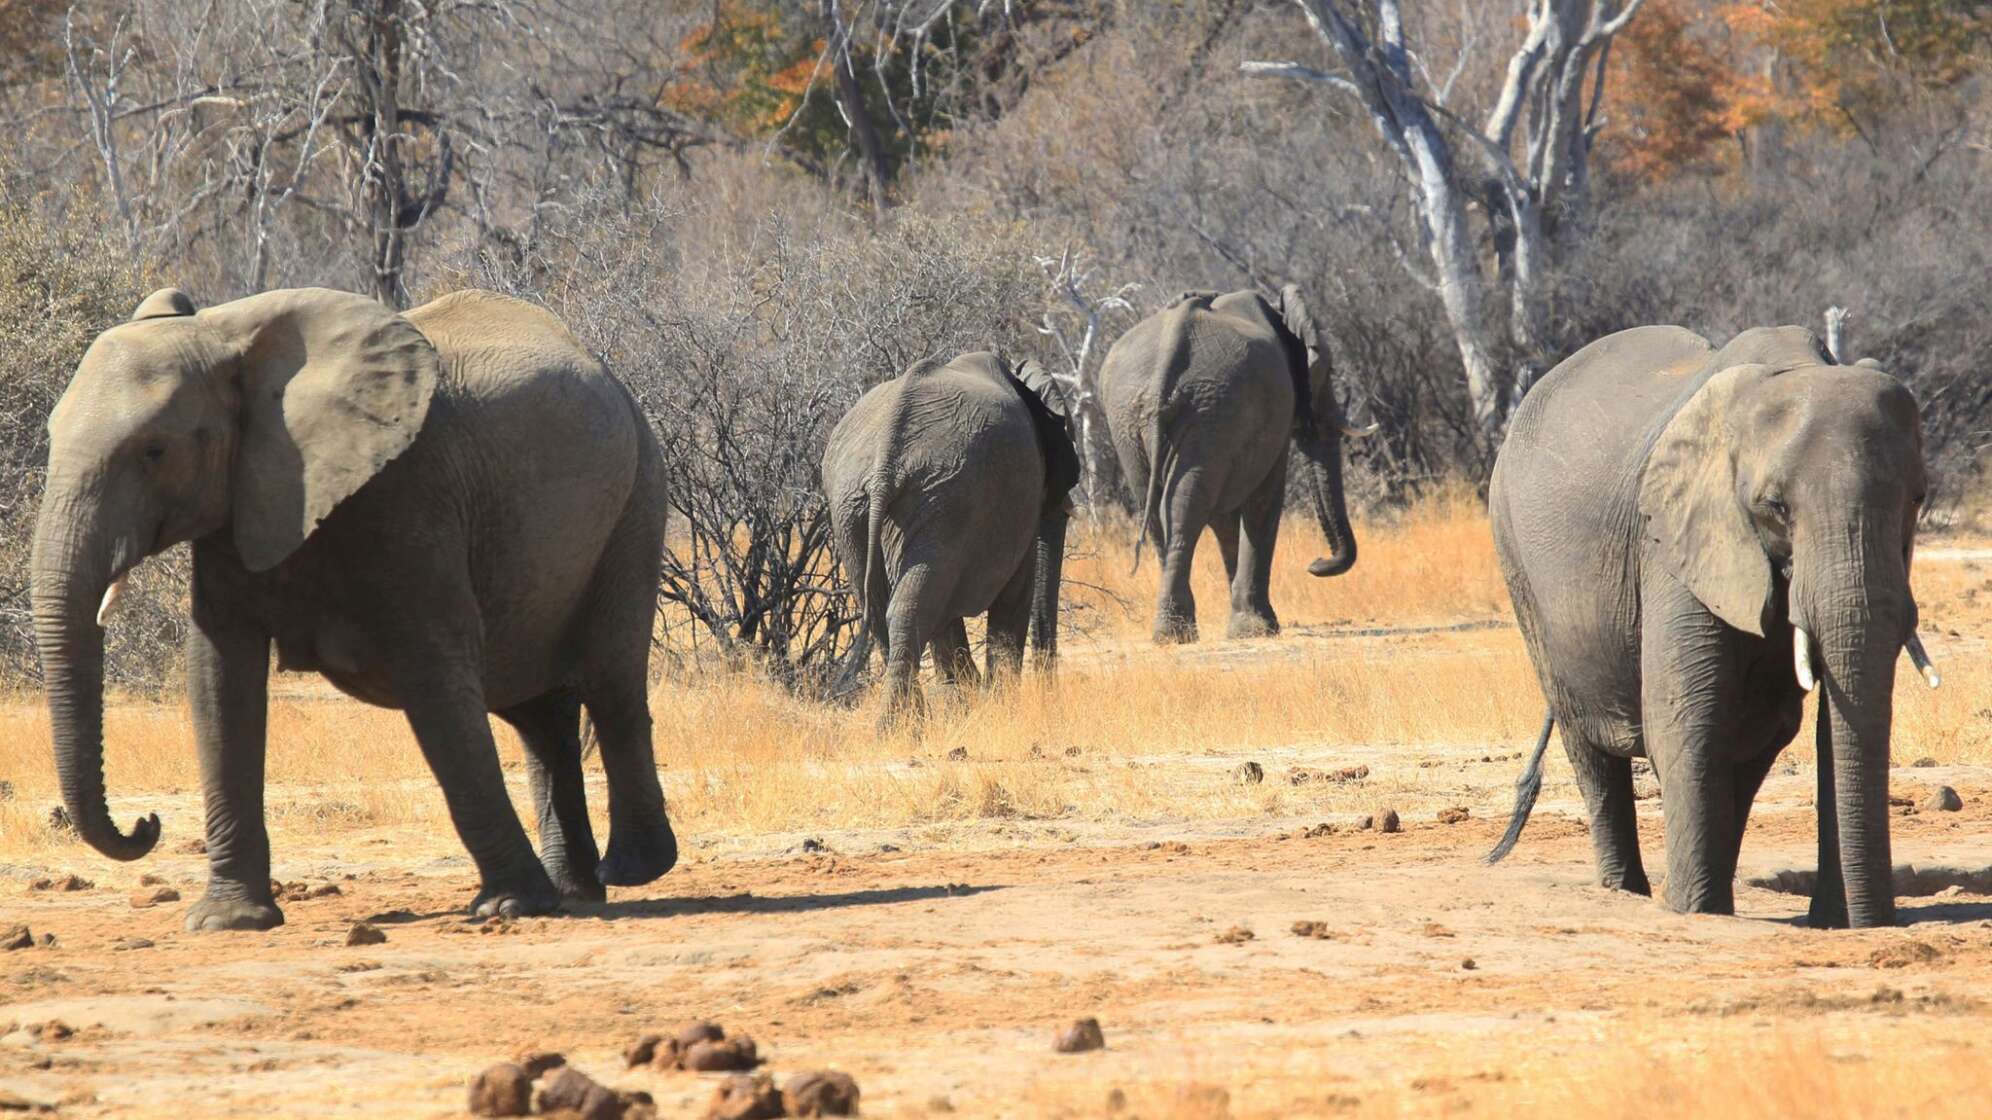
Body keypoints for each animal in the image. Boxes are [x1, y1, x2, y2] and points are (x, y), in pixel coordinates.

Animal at [33, 284, 677, 924]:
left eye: (154, 451)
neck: (226, 335)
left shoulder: (408, 492)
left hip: (638, 495)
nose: (147, 824)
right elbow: (218, 680)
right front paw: (228, 921)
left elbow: (435, 673)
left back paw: (629, 871)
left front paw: (509, 906)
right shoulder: (239, 505)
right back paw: (576, 892)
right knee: (538, 714)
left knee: (611, 679)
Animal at [816, 346, 1083, 713]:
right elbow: (1016, 592)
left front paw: (968, 700)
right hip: (940, 498)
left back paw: (908, 721)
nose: (1049, 696)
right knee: (913, 605)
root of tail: (885, 462)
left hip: (862, 505)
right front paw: (995, 705)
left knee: (889, 607)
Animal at [1099, 282, 1378, 641]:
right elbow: (1264, 500)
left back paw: (1171, 632)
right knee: (1185, 507)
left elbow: (1225, 516)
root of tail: (1165, 364)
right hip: (1209, 411)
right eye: (1326, 371)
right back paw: (1178, 633)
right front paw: (1260, 628)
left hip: (1134, 418)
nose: (1315, 563)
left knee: (1161, 508)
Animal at [1490, 320, 1936, 924]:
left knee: (1755, 734)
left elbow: (1821, 724)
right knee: (1587, 739)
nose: (1877, 921)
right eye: (1775, 506)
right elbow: (1686, 715)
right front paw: (1689, 912)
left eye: (1917, 498)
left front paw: (1830, 923)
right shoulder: (1676, 538)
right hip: (1515, 557)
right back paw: (1629, 893)